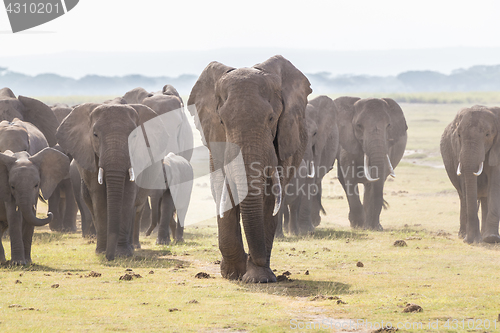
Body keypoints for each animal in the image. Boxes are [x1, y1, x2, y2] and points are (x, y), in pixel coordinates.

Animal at [189, 55, 310, 282]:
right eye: (222, 121)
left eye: (271, 119)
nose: (253, 258)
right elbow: (222, 187)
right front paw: (232, 273)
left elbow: (269, 196)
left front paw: (258, 277)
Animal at [334, 97, 408, 230]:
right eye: (359, 126)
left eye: (389, 125)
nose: (375, 226)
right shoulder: (347, 141)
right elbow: (349, 176)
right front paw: (357, 225)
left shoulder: (387, 145)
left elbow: (380, 176)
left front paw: (374, 227)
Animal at [442, 106, 500, 244]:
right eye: (458, 135)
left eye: (487, 134)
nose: (470, 240)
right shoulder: (458, 151)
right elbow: (465, 180)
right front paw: (473, 240)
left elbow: (495, 181)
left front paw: (491, 238)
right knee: (463, 196)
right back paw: (463, 235)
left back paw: (484, 236)